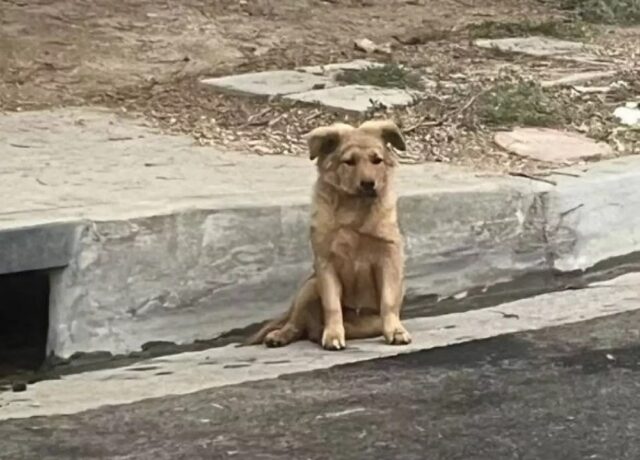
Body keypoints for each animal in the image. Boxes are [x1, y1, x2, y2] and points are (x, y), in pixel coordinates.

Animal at [245, 117, 410, 348]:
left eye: (376, 160)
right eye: (349, 161)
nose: (369, 184)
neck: (353, 209)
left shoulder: (388, 256)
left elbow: (388, 301)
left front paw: (395, 331)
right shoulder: (326, 263)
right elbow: (332, 305)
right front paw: (333, 334)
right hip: (309, 287)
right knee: (295, 323)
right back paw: (283, 335)